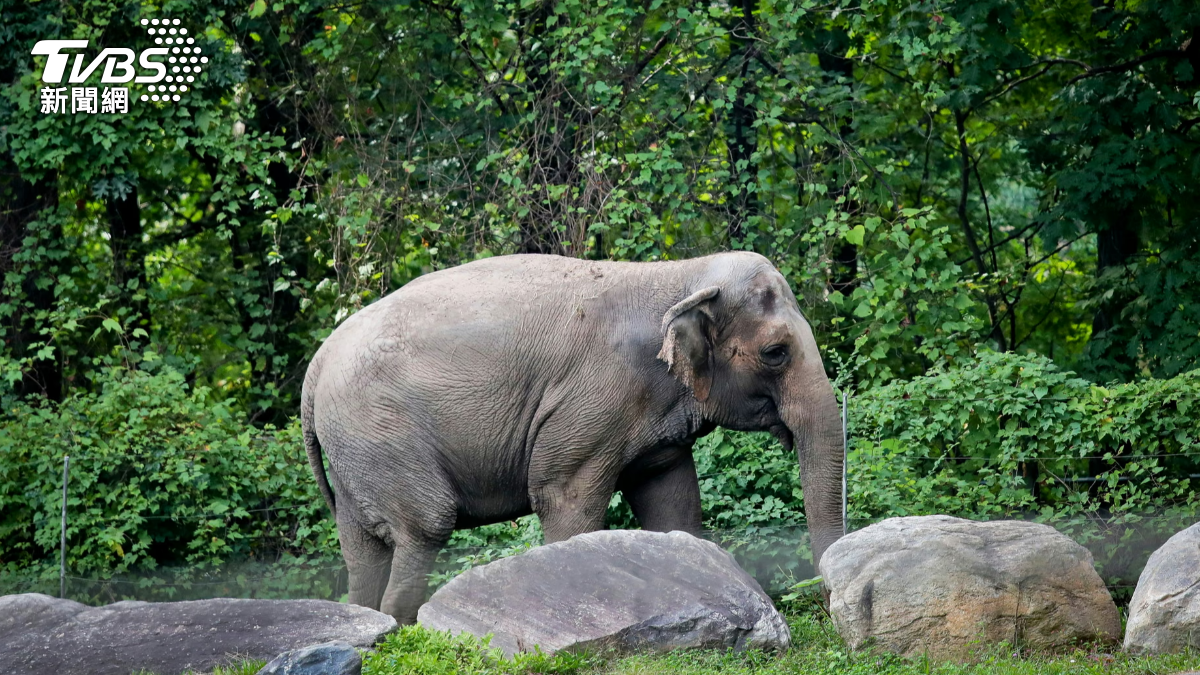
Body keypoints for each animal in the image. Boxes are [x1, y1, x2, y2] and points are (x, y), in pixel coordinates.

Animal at [301, 251, 845, 623]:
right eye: (775, 353)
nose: (825, 603)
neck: (679, 275)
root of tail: (317, 363)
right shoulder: (592, 402)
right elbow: (565, 499)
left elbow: (672, 504)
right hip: (381, 432)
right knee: (425, 527)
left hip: (355, 450)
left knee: (362, 549)